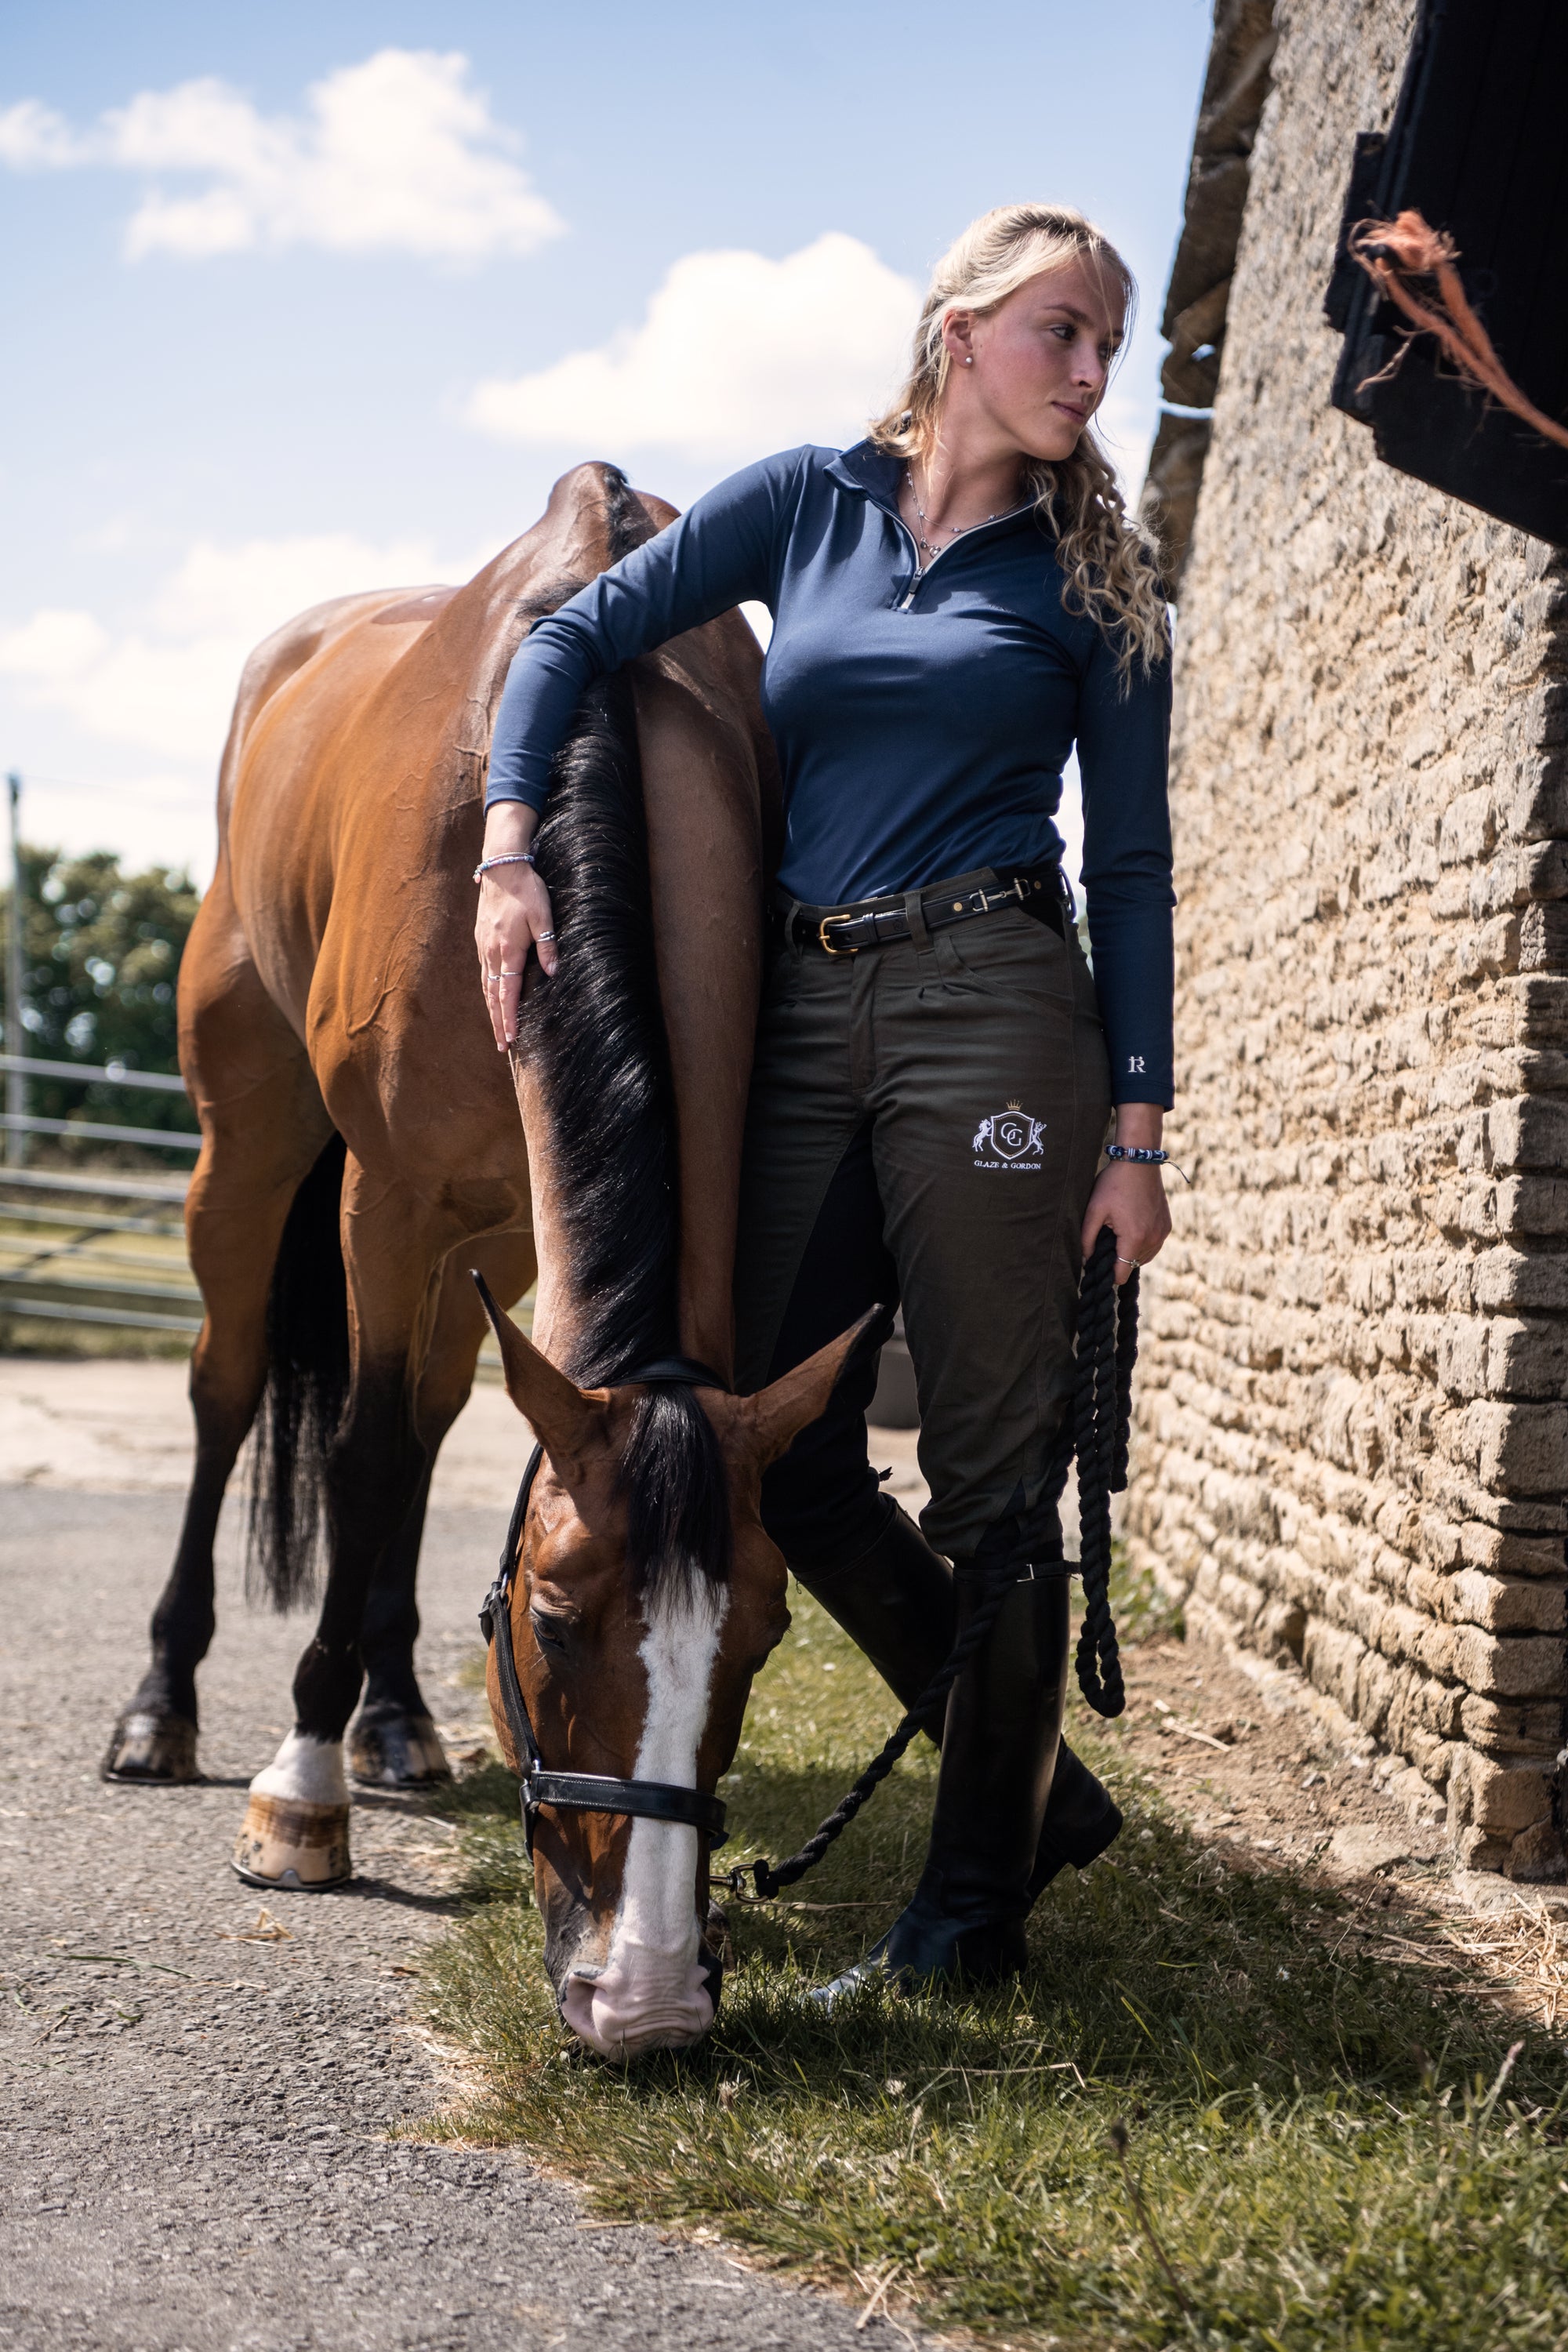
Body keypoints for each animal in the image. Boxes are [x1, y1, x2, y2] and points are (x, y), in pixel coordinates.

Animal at [107, 463, 869, 2060]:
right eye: (558, 1625)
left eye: (767, 1636)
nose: (645, 1999)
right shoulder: (385, 1203)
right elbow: (359, 1458)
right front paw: (300, 1794)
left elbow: (413, 1451)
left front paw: (368, 1722)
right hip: (248, 1158)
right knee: (230, 1395)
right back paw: (167, 1707)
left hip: (491, 1242)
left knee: (437, 1414)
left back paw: (397, 1718)